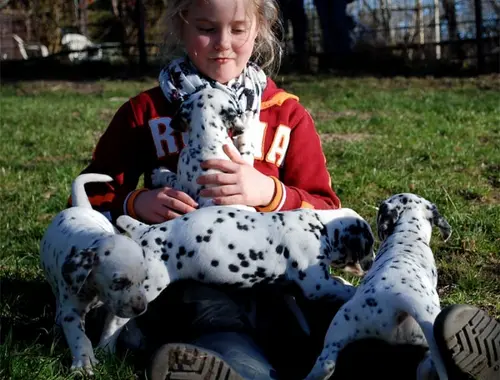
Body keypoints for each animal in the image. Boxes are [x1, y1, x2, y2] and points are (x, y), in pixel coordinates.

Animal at [39, 174, 148, 374]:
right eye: (119, 281)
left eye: (143, 280)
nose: (140, 309)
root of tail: (82, 206)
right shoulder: (72, 310)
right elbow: (79, 336)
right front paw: (84, 363)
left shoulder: (117, 308)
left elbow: (111, 329)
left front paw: (106, 352)